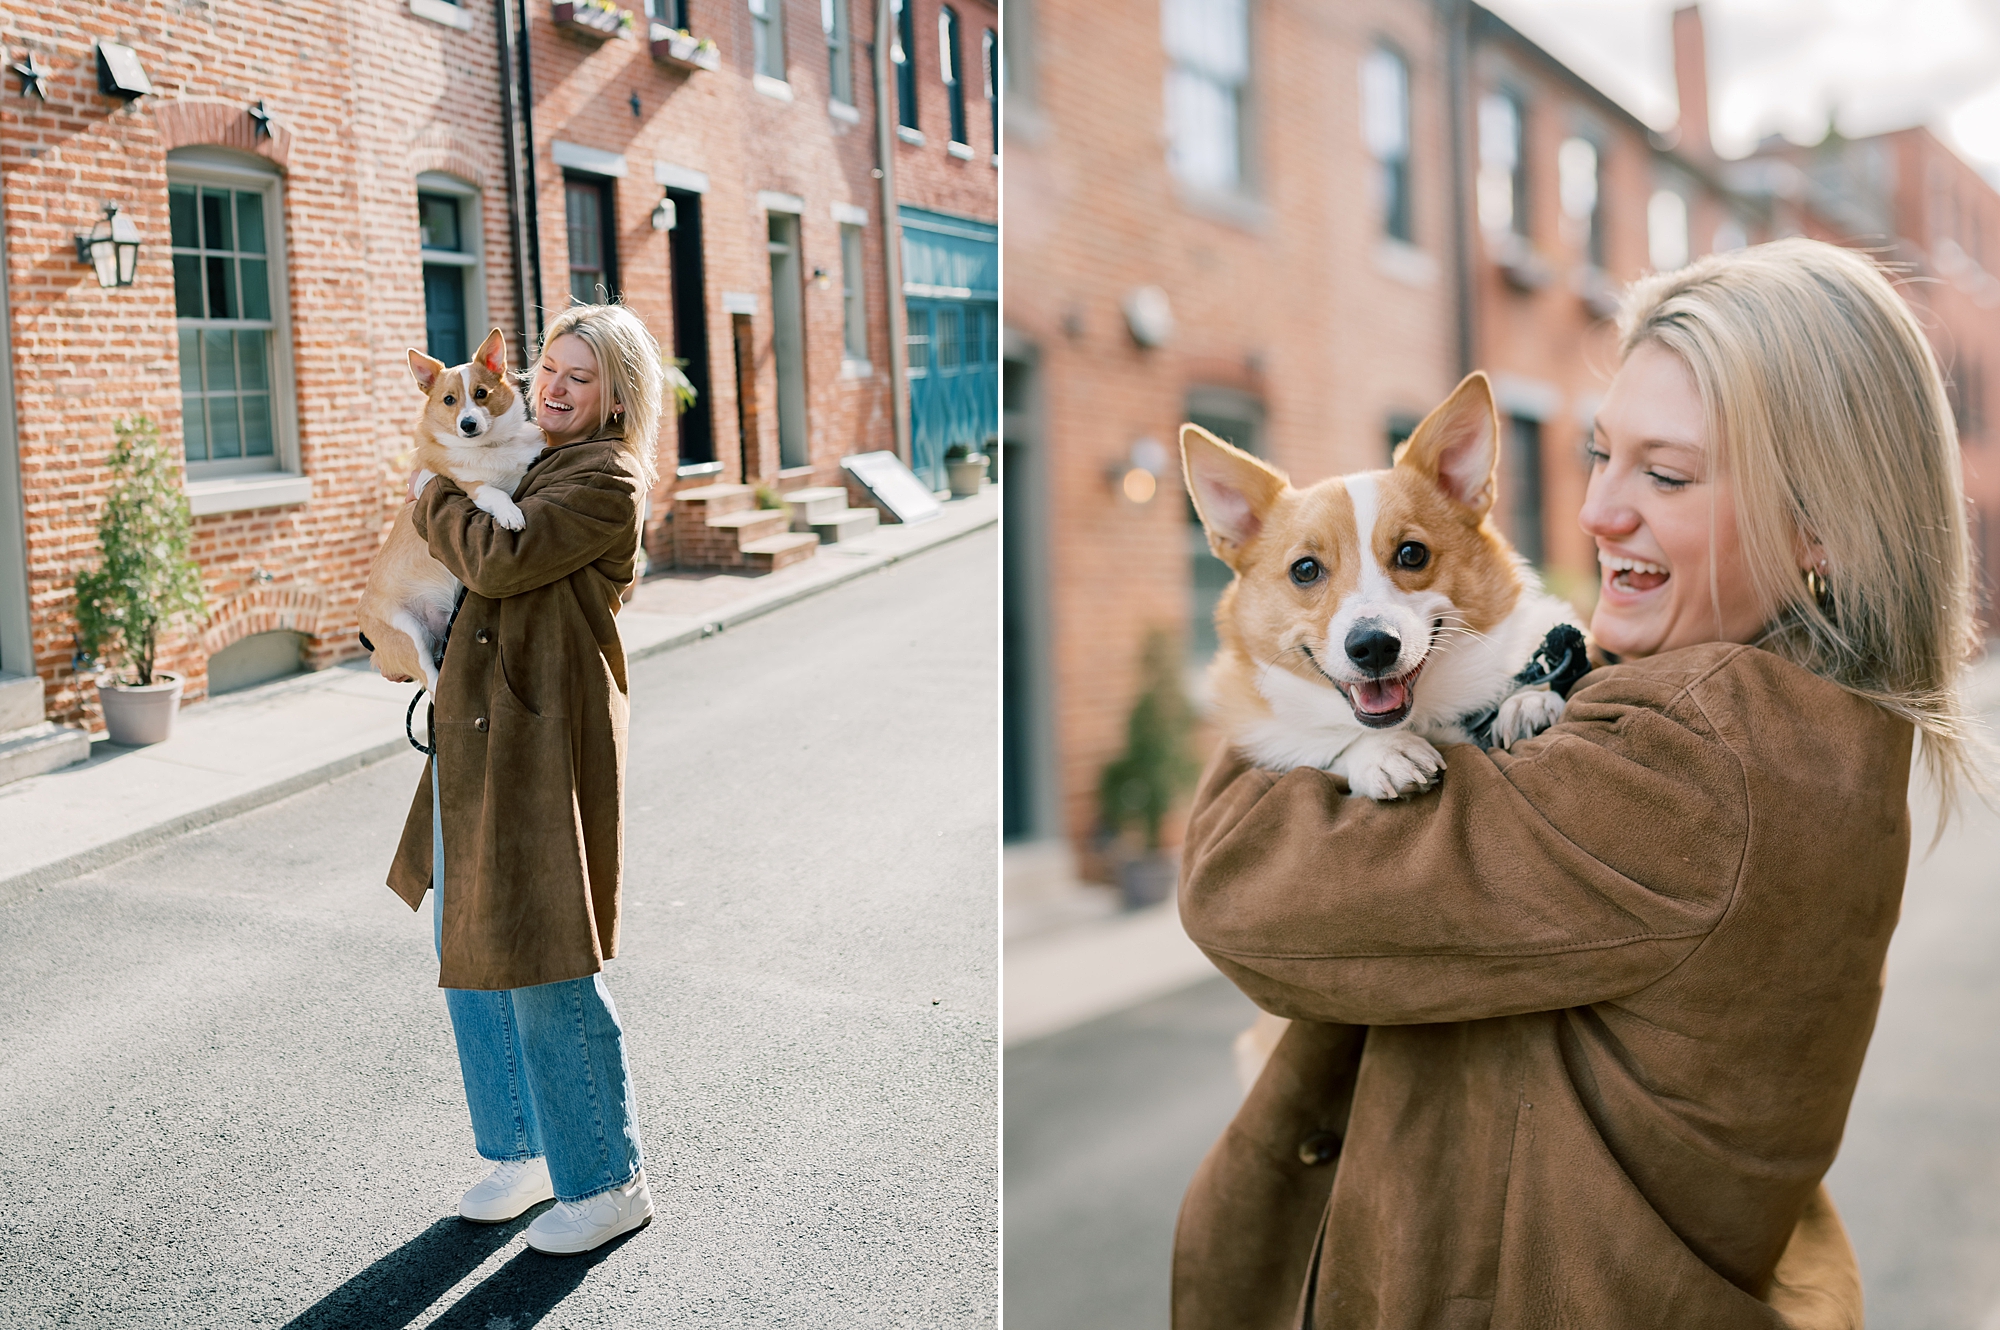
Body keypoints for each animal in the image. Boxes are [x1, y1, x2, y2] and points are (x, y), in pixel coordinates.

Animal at [352, 326, 540, 688]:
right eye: (449, 400)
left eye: (481, 394)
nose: (467, 424)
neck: (489, 448)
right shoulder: (472, 488)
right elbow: (495, 493)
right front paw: (510, 513)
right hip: (410, 634)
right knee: (433, 682)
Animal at [1176, 370, 1584, 1088]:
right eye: (1305, 570)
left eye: (1412, 554)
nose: (1372, 646)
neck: (1428, 715)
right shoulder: (1267, 732)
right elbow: (1326, 742)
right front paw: (1380, 753)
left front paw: (1527, 700)